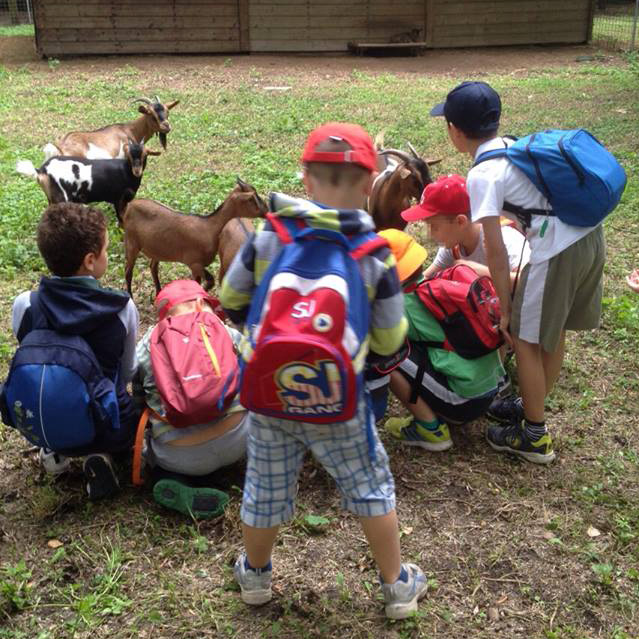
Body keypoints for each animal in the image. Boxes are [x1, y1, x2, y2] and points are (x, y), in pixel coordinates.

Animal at [17, 139, 160, 221]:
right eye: (129, 155)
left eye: (145, 154)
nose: (137, 170)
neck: (125, 171)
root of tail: (42, 170)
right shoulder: (119, 199)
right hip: (62, 197)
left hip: (52, 198)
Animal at [122, 175, 268, 296]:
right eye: (252, 199)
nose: (266, 210)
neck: (209, 227)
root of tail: (130, 206)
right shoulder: (194, 263)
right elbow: (207, 281)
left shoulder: (200, 265)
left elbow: (205, 281)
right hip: (131, 242)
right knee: (128, 271)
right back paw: (131, 296)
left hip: (156, 248)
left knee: (153, 267)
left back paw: (159, 292)